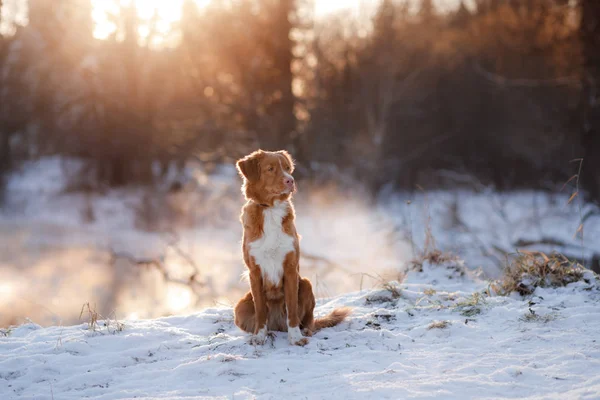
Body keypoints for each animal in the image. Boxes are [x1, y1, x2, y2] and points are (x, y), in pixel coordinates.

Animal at [232, 148, 350, 346]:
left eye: (288, 168)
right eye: (270, 169)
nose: (290, 180)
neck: (270, 209)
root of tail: (277, 325)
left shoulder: (290, 268)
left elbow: (293, 309)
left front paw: (295, 338)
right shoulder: (254, 271)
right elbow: (260, 310)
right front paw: (259, 336)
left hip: (306, 284)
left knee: (309, 320)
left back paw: (306, 331)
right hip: (240, 306)